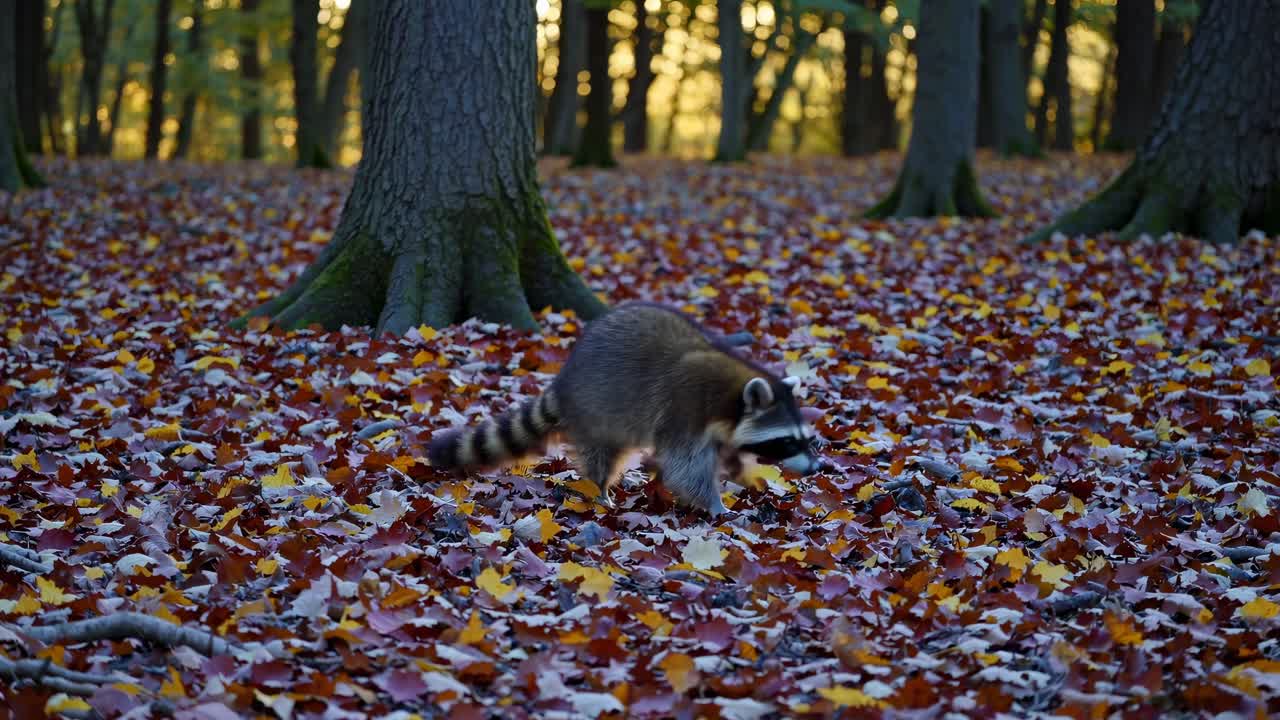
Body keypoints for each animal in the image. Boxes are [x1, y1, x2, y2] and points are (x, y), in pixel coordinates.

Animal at [427, 302, 821, 515]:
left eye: (806, 439)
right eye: (788, 441)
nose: (818, 467)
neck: (730, 396)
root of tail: (565, 379)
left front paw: (746, 476)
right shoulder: (685, 411)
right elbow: (685, 467)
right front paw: (715, 504)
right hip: (597, 411)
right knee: (602, 456)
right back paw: (602, 488)